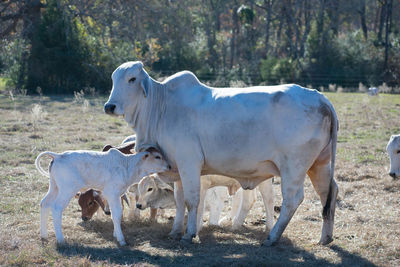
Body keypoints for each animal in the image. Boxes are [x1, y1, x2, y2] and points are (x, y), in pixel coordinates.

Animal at [34, 148, 170, 246]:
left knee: (44, 204)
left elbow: (117, 212)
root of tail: (58, 156)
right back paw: (61, 240)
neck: (127, 165)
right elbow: (116, 214)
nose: (169, 166)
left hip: (54, 187)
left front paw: (115, 234)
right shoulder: (113, 193)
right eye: (157, 156)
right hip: (67, 189)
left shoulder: (116, 195)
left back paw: (43, 235)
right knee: (56, 208)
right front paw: (121, 239)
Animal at [103, 61, 338, 246]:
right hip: (319, 165)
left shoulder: (189, 164)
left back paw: (272, 237)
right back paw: (325, 237)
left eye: (132, 79)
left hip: (294, 167)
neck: (162, 107)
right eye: (113, 78)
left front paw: (189, 234)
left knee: (292, 200)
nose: (109, 106)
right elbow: (179, 201)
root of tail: (321, 99)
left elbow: (191, 201)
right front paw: (175, 232)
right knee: (328, 192)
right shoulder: (176, 168)